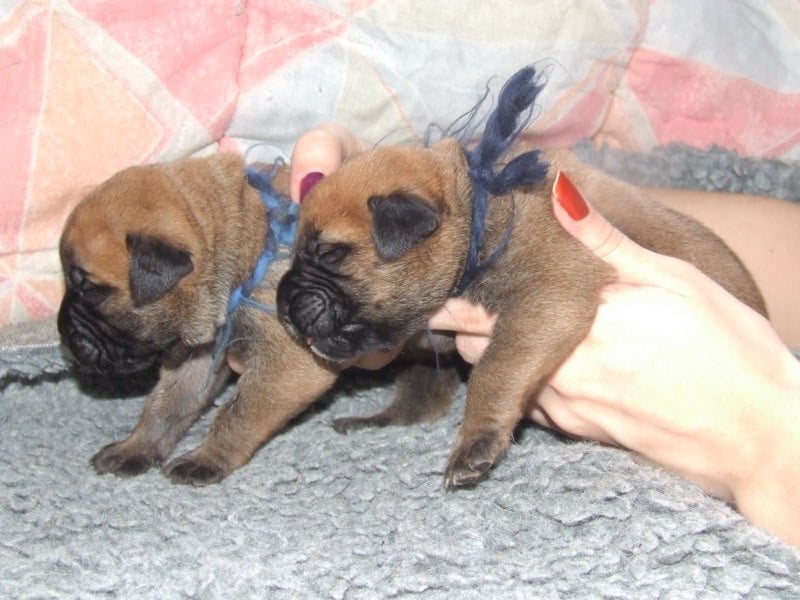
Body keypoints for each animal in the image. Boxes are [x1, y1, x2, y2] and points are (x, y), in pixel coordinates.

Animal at [57, 154, 346, 482]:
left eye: (89, 289)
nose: (64, 336)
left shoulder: (286, 367)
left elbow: (237, 414)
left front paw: (205, 459)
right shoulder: (199, 357)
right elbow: (165, 405)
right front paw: (134, 448)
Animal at [276, 138, 768, 490]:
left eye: (330, 253)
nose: (282, 304)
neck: (476, 214)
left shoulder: (548, 293)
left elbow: (494, 370)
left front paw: (475, 442)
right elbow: (423, 396)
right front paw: (378, 420)